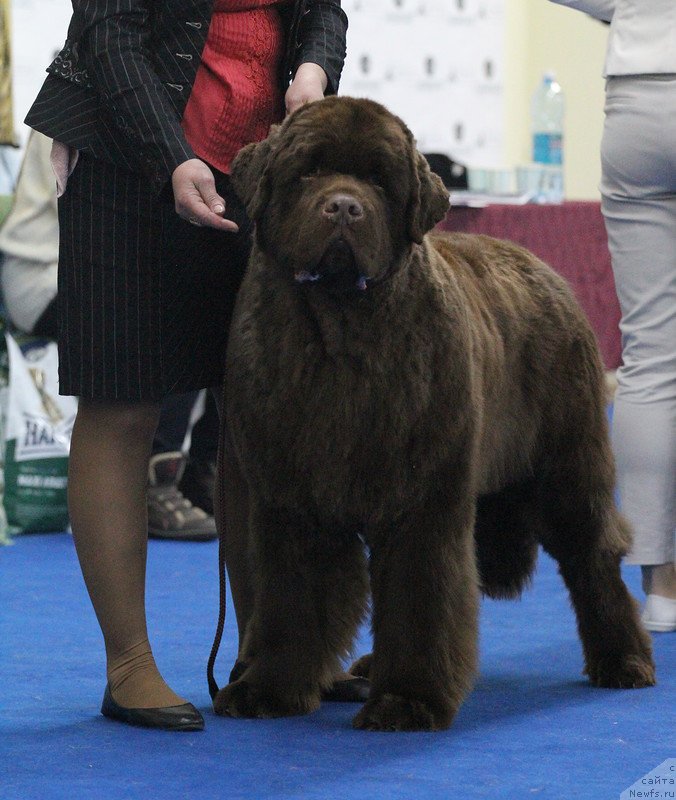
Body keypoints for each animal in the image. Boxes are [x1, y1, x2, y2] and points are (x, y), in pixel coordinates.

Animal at [213, 95, 656, 732]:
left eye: (378, 181)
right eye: (309, 173)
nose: (343, 207)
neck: (338, 334)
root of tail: (541, 267)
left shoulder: (422, 498)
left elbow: (421, 596)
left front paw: (409, 699)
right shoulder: (290, 499)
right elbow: (291, 597)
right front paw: (268, 688)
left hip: (568, 466)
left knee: (593, 555)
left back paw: (624, 660)